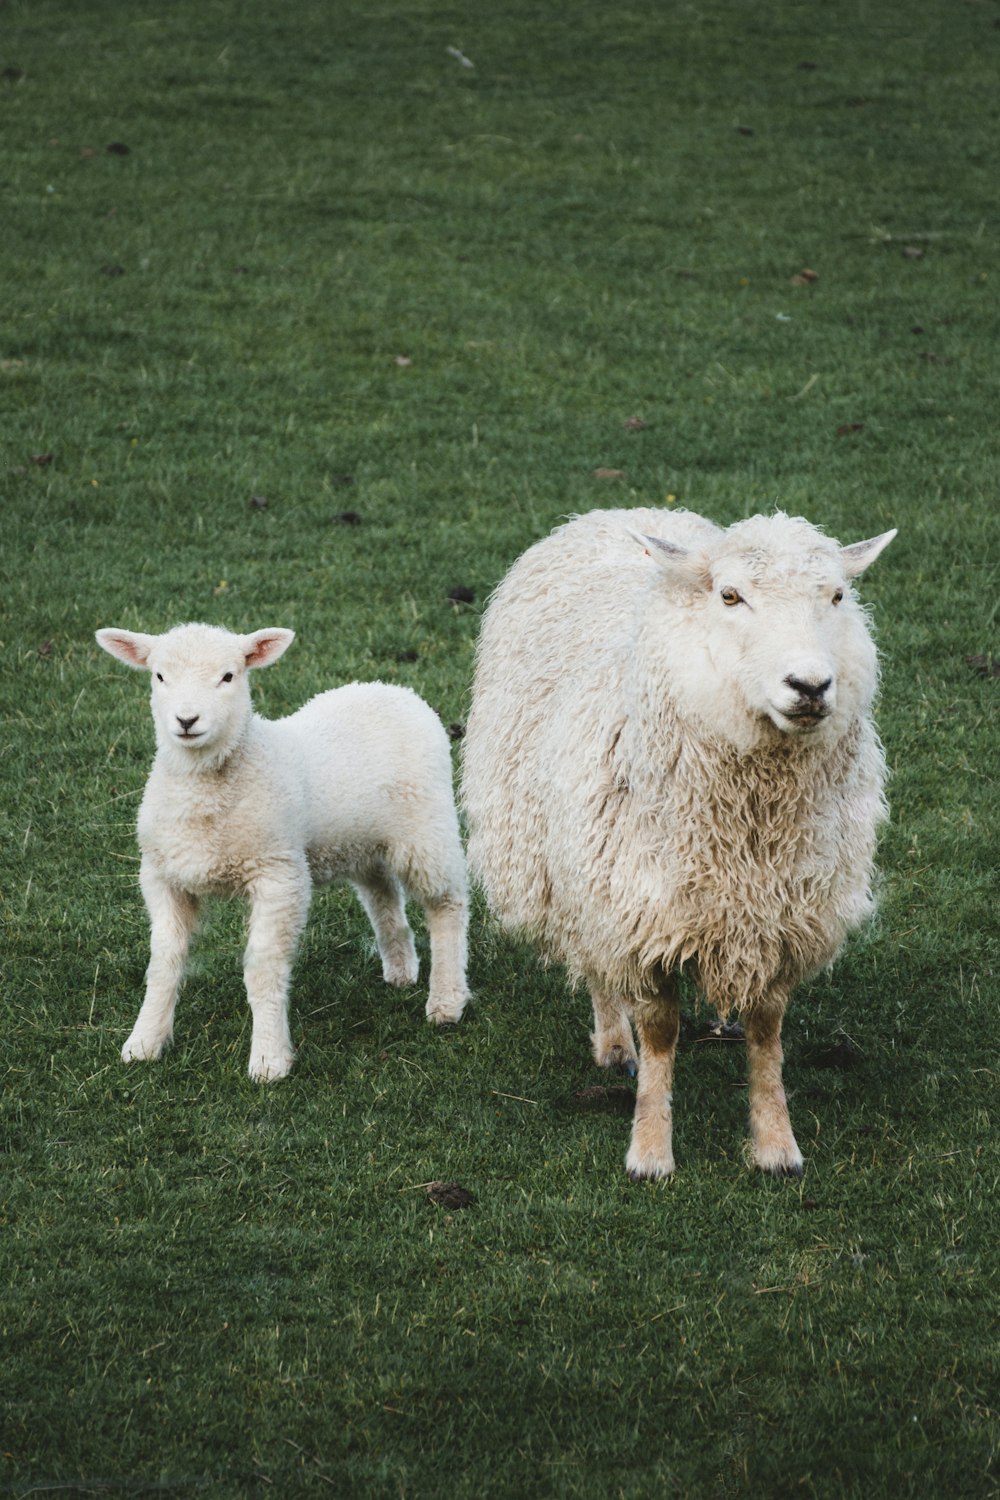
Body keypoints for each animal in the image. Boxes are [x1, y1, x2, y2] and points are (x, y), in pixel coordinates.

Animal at [93, 621, 470, 1080]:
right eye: (159, 676)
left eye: (228, 676)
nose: (186, 720)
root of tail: (394, 689)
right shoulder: (162, 875)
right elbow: (163, 963)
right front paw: (144, 1041)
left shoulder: (278, 874)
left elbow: (263, 968)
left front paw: (269, 1059)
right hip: (363, 840)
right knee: (382, 893)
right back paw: (400, 967)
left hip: (427, 831)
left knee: (447, 905)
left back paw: (447, 1000)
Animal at [464, 510, 899, 1176]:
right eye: (730, 596)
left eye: (836, 596)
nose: (809, 685)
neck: (749, 824)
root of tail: (618, 513)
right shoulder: (642, 915)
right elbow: (660, 1032)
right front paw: (650, 1149)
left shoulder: (782, 917)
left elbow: (767, 1032)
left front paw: (776, 1145)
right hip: (582, 874)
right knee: (597, 967)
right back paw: (615, 1044)